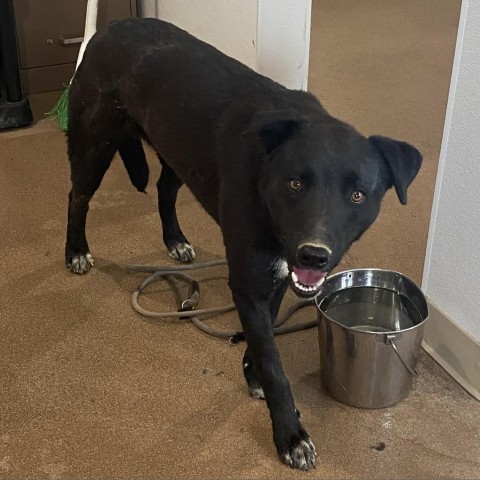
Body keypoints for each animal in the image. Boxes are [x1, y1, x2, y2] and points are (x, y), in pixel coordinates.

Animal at [65, 17, 422, 468]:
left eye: (358, 195)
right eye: (295, 183)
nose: (314, 255)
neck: (265, 181)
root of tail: (109, 27)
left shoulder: (275, 274)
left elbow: (264, 331)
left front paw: (251, 371)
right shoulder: (249, 280)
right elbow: (274, 362)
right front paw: (289, 433)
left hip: (177, 151)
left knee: (164, 188)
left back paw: (175, 240)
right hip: (94, 144)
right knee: (77, 197)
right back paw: (75, 250)